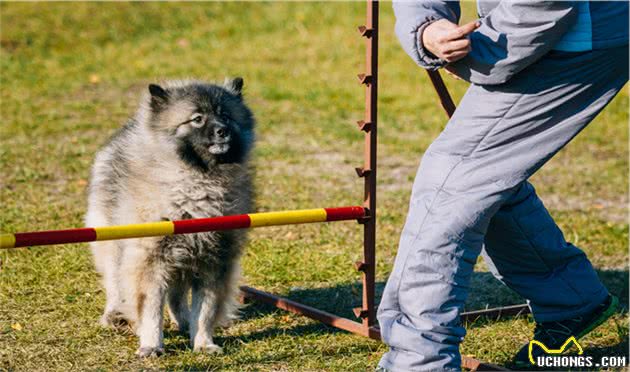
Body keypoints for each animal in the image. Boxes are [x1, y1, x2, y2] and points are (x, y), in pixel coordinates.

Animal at [85, 78, 256, 358]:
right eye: (197, 119)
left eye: (226, 116)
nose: (222, 131)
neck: (196, 181)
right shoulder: (150, 259)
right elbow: (151, 310)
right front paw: (151, 344)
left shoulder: (213, 261)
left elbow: (205, 310)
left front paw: (202, 342)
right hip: (113, 242)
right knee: (114, 281)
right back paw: (115, 314)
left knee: (176, 295)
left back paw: (183, 321)